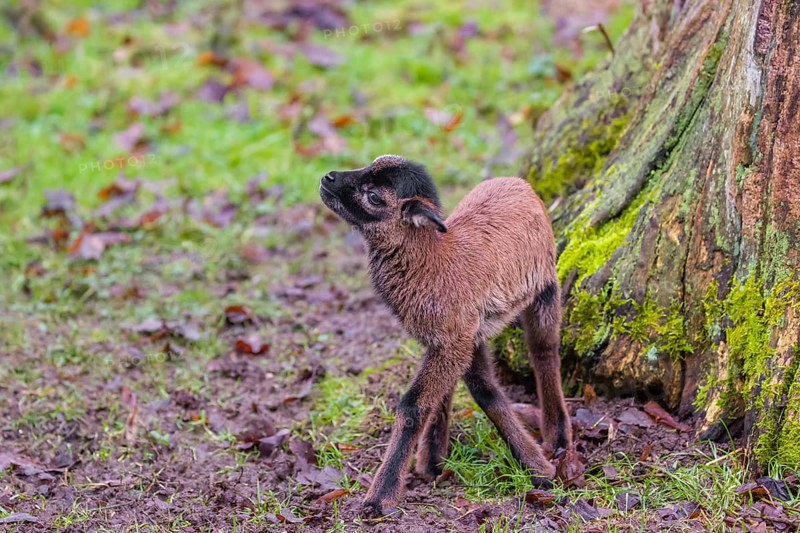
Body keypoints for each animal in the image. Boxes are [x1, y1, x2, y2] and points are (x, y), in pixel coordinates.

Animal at [319, 155, 572, 517]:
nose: (327, 178)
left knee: (544, 351)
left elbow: (416, 404)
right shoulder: (454, 337)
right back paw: (433, 457)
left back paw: (558, 435)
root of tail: (518, 182)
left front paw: (380, 496)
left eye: (374, 197)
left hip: (545, 287)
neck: (433, 264)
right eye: (372, 162)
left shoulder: (456, 338)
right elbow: (480, 390)